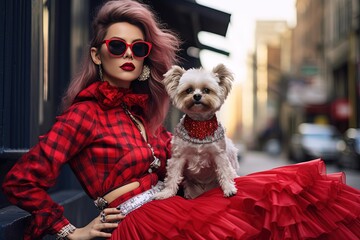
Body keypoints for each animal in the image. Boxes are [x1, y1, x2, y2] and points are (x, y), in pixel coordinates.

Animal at [155, 63, 238, 199]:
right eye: (189, 90)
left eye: (206, 90)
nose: (197, 96)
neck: (199, 126)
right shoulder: (178, 156)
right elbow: (173, 176)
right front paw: (166, 193)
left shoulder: (219, 154)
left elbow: (224, 171)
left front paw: (229, 188)